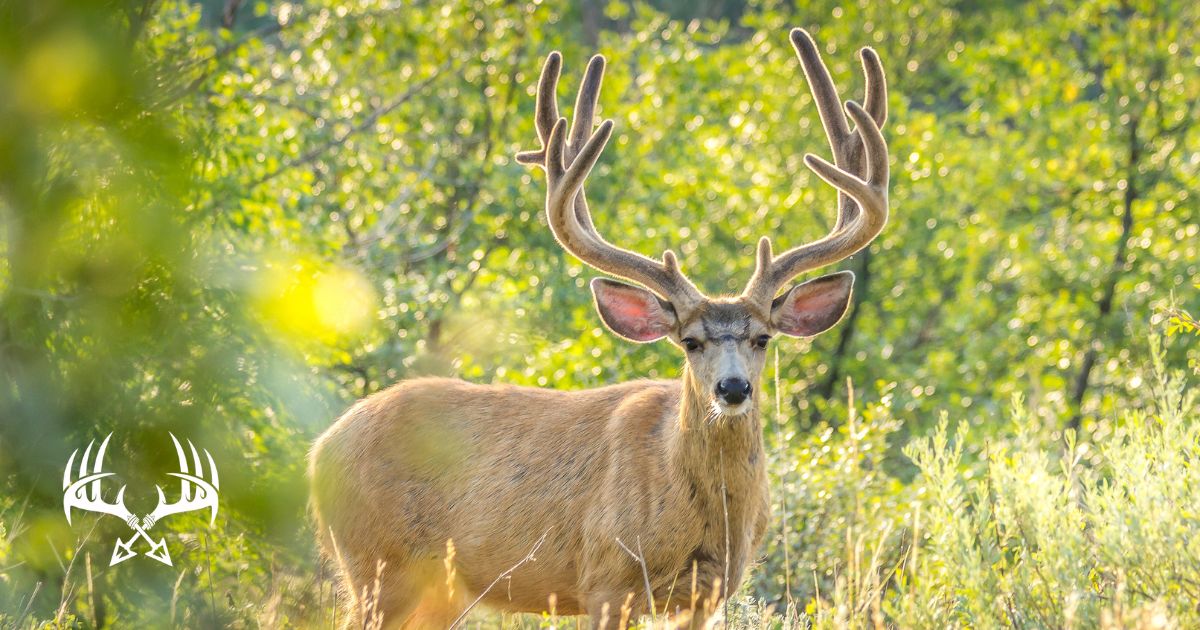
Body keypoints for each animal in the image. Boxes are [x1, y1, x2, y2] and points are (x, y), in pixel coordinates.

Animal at [309, 28, 889, 629]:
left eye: (763, 338)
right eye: (689, 341)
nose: (733, 388)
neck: (702, 517)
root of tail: (319, 450)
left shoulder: (708, 595)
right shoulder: (607, 578)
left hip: (436, 589)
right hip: (377, 565)